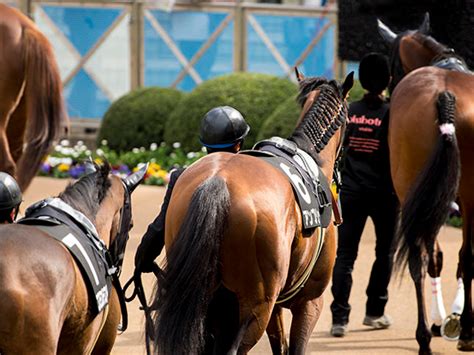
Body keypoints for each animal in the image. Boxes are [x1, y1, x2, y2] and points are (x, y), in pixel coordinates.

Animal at [378, 14, 474, 355]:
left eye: (392, 65)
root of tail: (444, 97)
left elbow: (437, 257)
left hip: (414, 191)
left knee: (421, 260)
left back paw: (426, 337)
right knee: (456, 257)